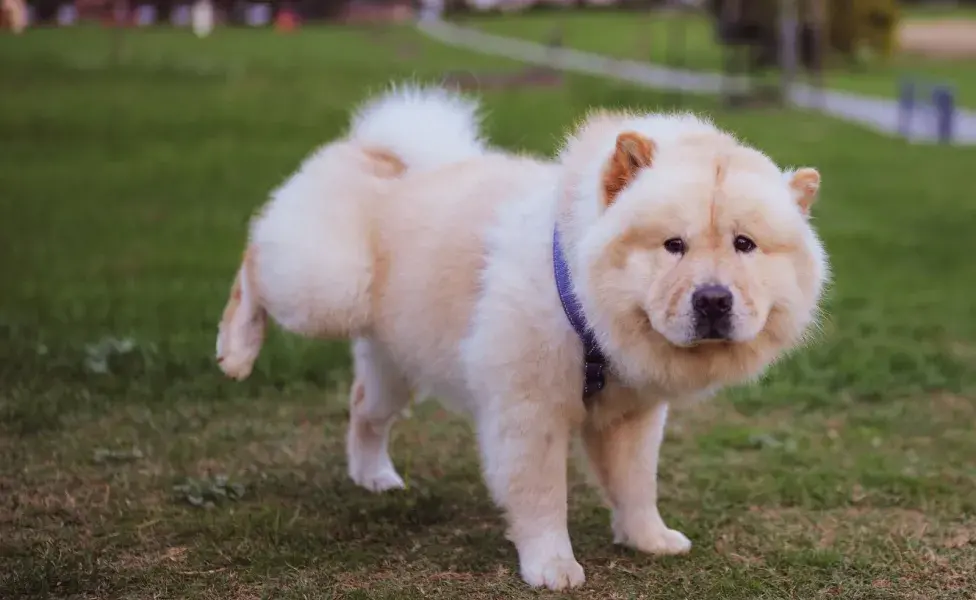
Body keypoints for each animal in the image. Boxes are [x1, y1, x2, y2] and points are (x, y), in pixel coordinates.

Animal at [217, 84, 828, 592]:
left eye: (745, 245)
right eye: (673, 244)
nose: (713, 299)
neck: (588, 312)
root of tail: (380, 153)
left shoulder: (633, 416)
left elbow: (636, 485)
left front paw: (650, 540)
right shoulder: (529, 409)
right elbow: (541, 496)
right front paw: (553, 567)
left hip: (396, 360)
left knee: (365, 408)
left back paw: (375, 478)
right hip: (327, 287)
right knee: (254, 260)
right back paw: (236, 348)